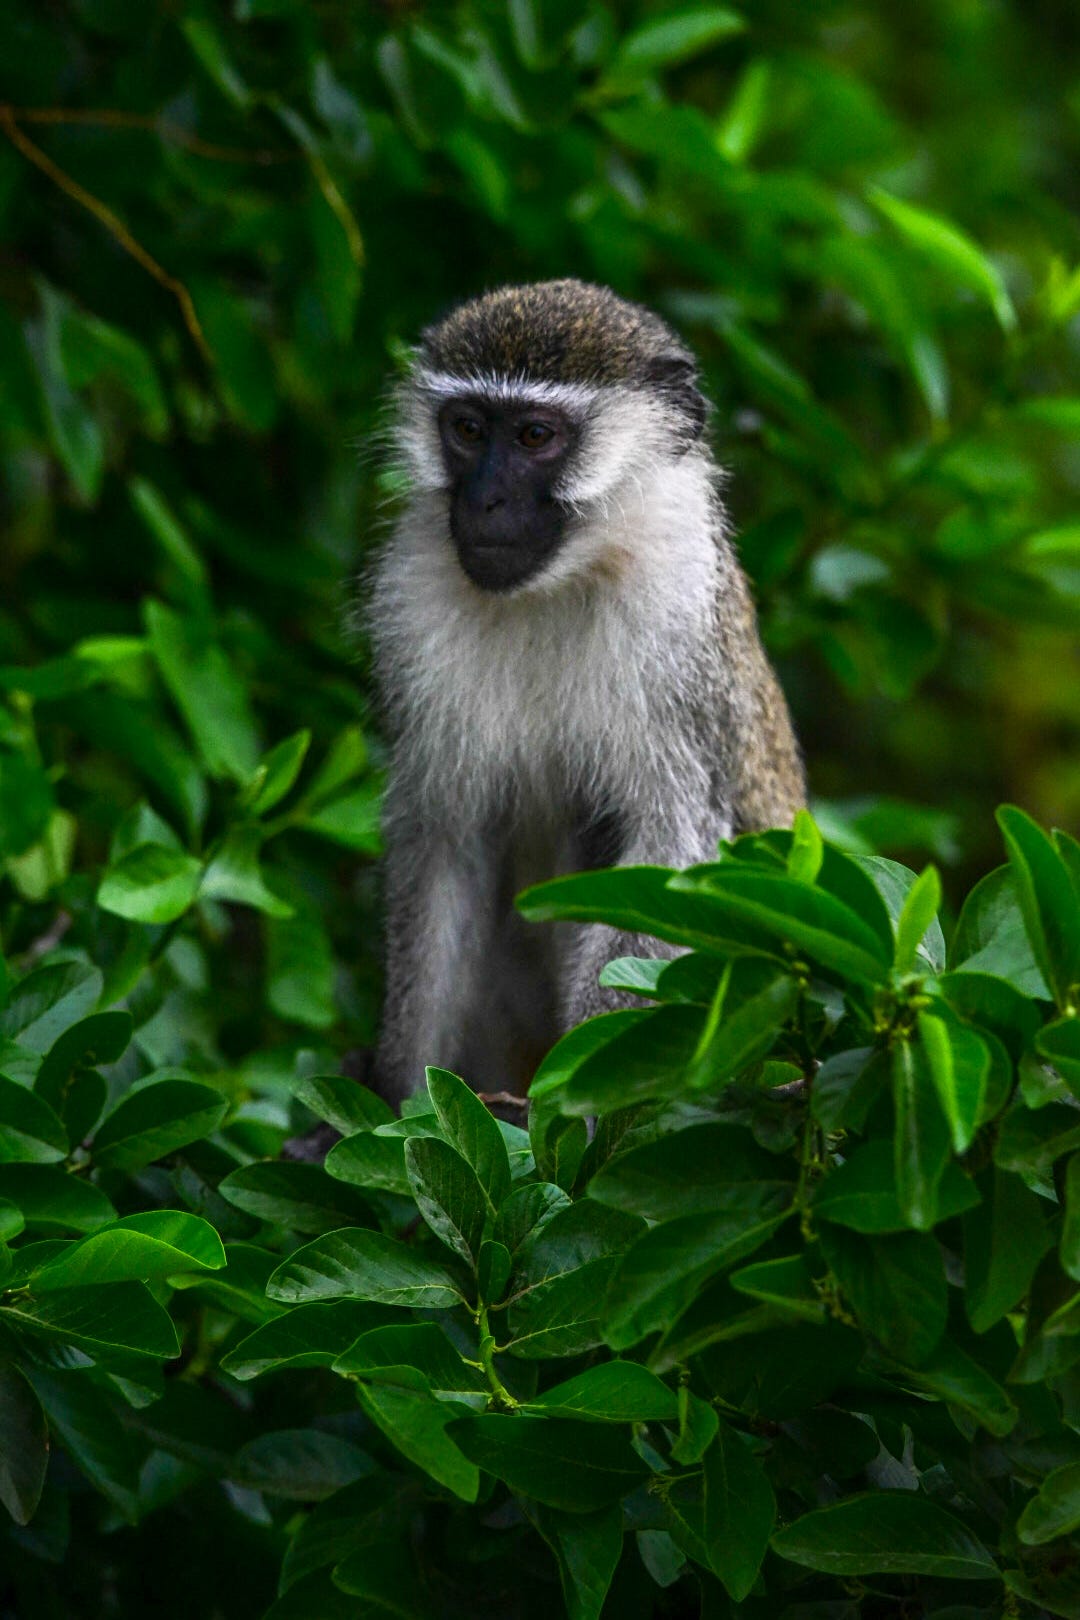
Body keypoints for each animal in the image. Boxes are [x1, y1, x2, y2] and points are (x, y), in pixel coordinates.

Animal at [369, 279, 805, 1106]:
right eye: (467, 429)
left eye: (536, 436)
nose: (483, 502)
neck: (564, 581)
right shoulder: (419, 602)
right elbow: (446, 845)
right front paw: (389, 1097)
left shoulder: (679, 631)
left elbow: (664, 857)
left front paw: (569, 1114)